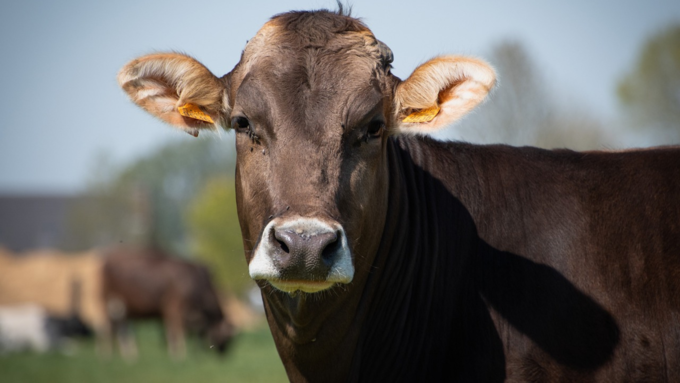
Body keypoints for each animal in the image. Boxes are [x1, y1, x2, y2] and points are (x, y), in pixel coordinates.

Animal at [101, 248, 234, 362]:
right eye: (227, 338)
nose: (224, 356)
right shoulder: (174, 307)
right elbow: (176, 331)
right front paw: (180, 355)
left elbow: (171, 332)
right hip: (113, 303)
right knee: (110, 327)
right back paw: (111, 355)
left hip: (121, 308)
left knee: (121, 329)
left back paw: (128, 355)